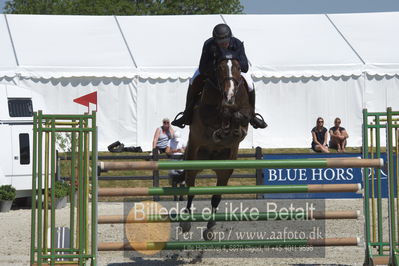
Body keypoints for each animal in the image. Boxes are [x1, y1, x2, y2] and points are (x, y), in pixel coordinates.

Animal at [180, 54, 250, 241]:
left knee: (216, 196)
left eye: (238, 68)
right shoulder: (205, 114)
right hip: (194, 159)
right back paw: (185, 223)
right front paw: (222, 127)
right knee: (191, 189)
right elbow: (220, 115)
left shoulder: (243, 121)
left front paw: (232, 125)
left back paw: (210, 228)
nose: (229, 96)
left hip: (225, 168)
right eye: (219, 68)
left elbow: (238, 118)